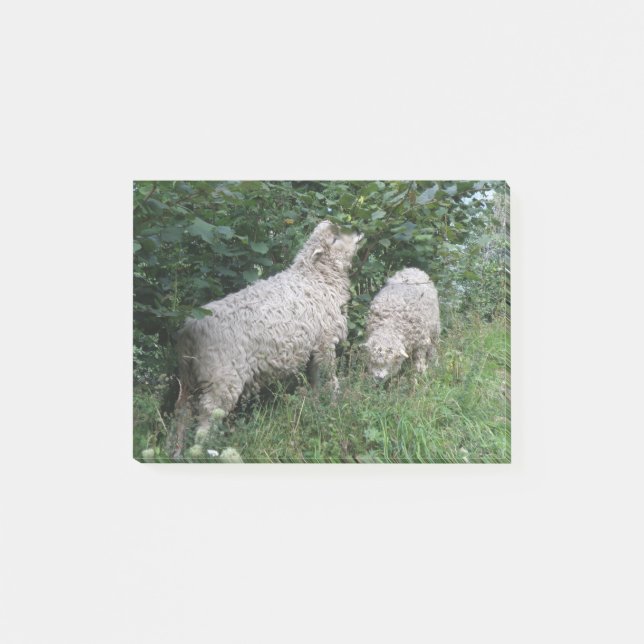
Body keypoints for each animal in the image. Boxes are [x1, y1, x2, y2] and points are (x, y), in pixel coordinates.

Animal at [172, 220, 363, 459]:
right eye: (335, 239)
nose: (357, 230)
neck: (316, 278)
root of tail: (190, 329)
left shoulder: (313, 348)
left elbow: (315, 379)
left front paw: (316, 403)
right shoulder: (324, 342)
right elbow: (329, 377)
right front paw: (335, 401)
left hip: (188, 379)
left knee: (182, 411)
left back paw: (176, 451)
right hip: (221, 378)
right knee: (207, 414)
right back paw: (204, 451)